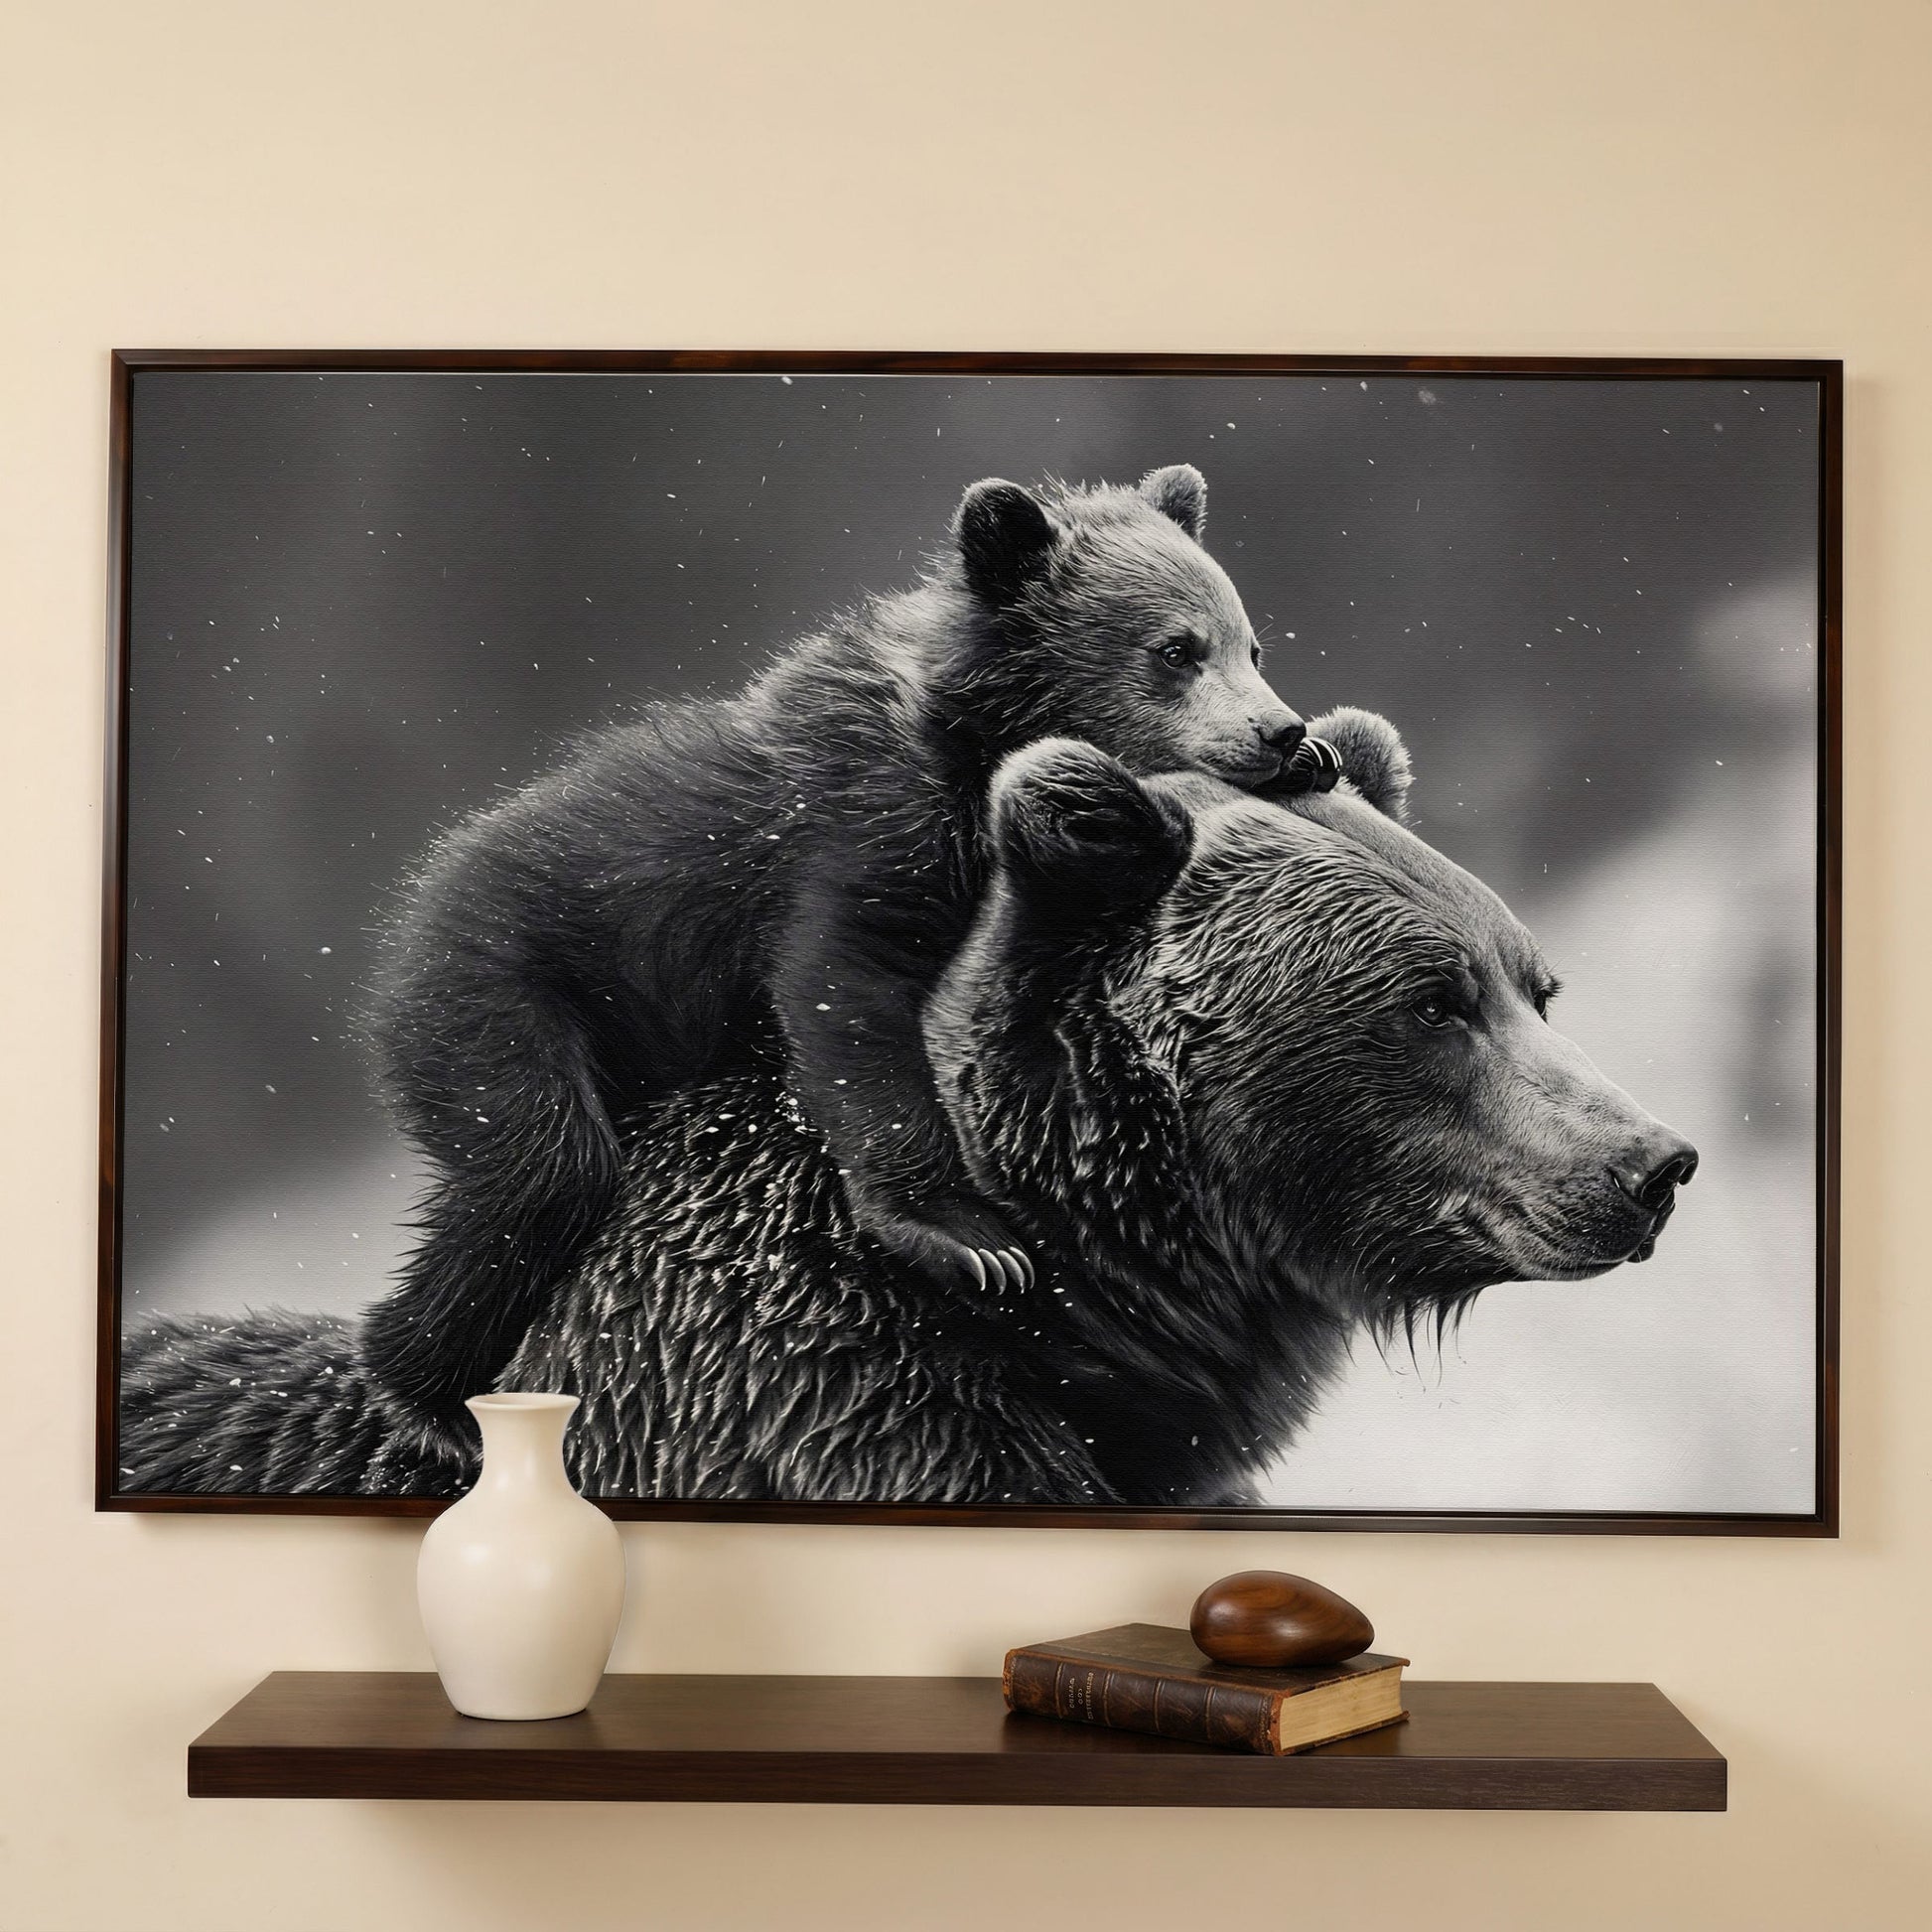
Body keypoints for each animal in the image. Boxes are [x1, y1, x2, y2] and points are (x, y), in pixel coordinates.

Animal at [359, 463, 1340, 1446]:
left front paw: (1325, 756)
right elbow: (850, 996)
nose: (1280, 731)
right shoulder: (863, 826)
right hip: (504, 989)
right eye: (1176, 650)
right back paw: (426, 1393)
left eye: (1251, 645)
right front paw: (969, 1238)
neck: (971, 742)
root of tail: (417, 903)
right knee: (541, 1173)